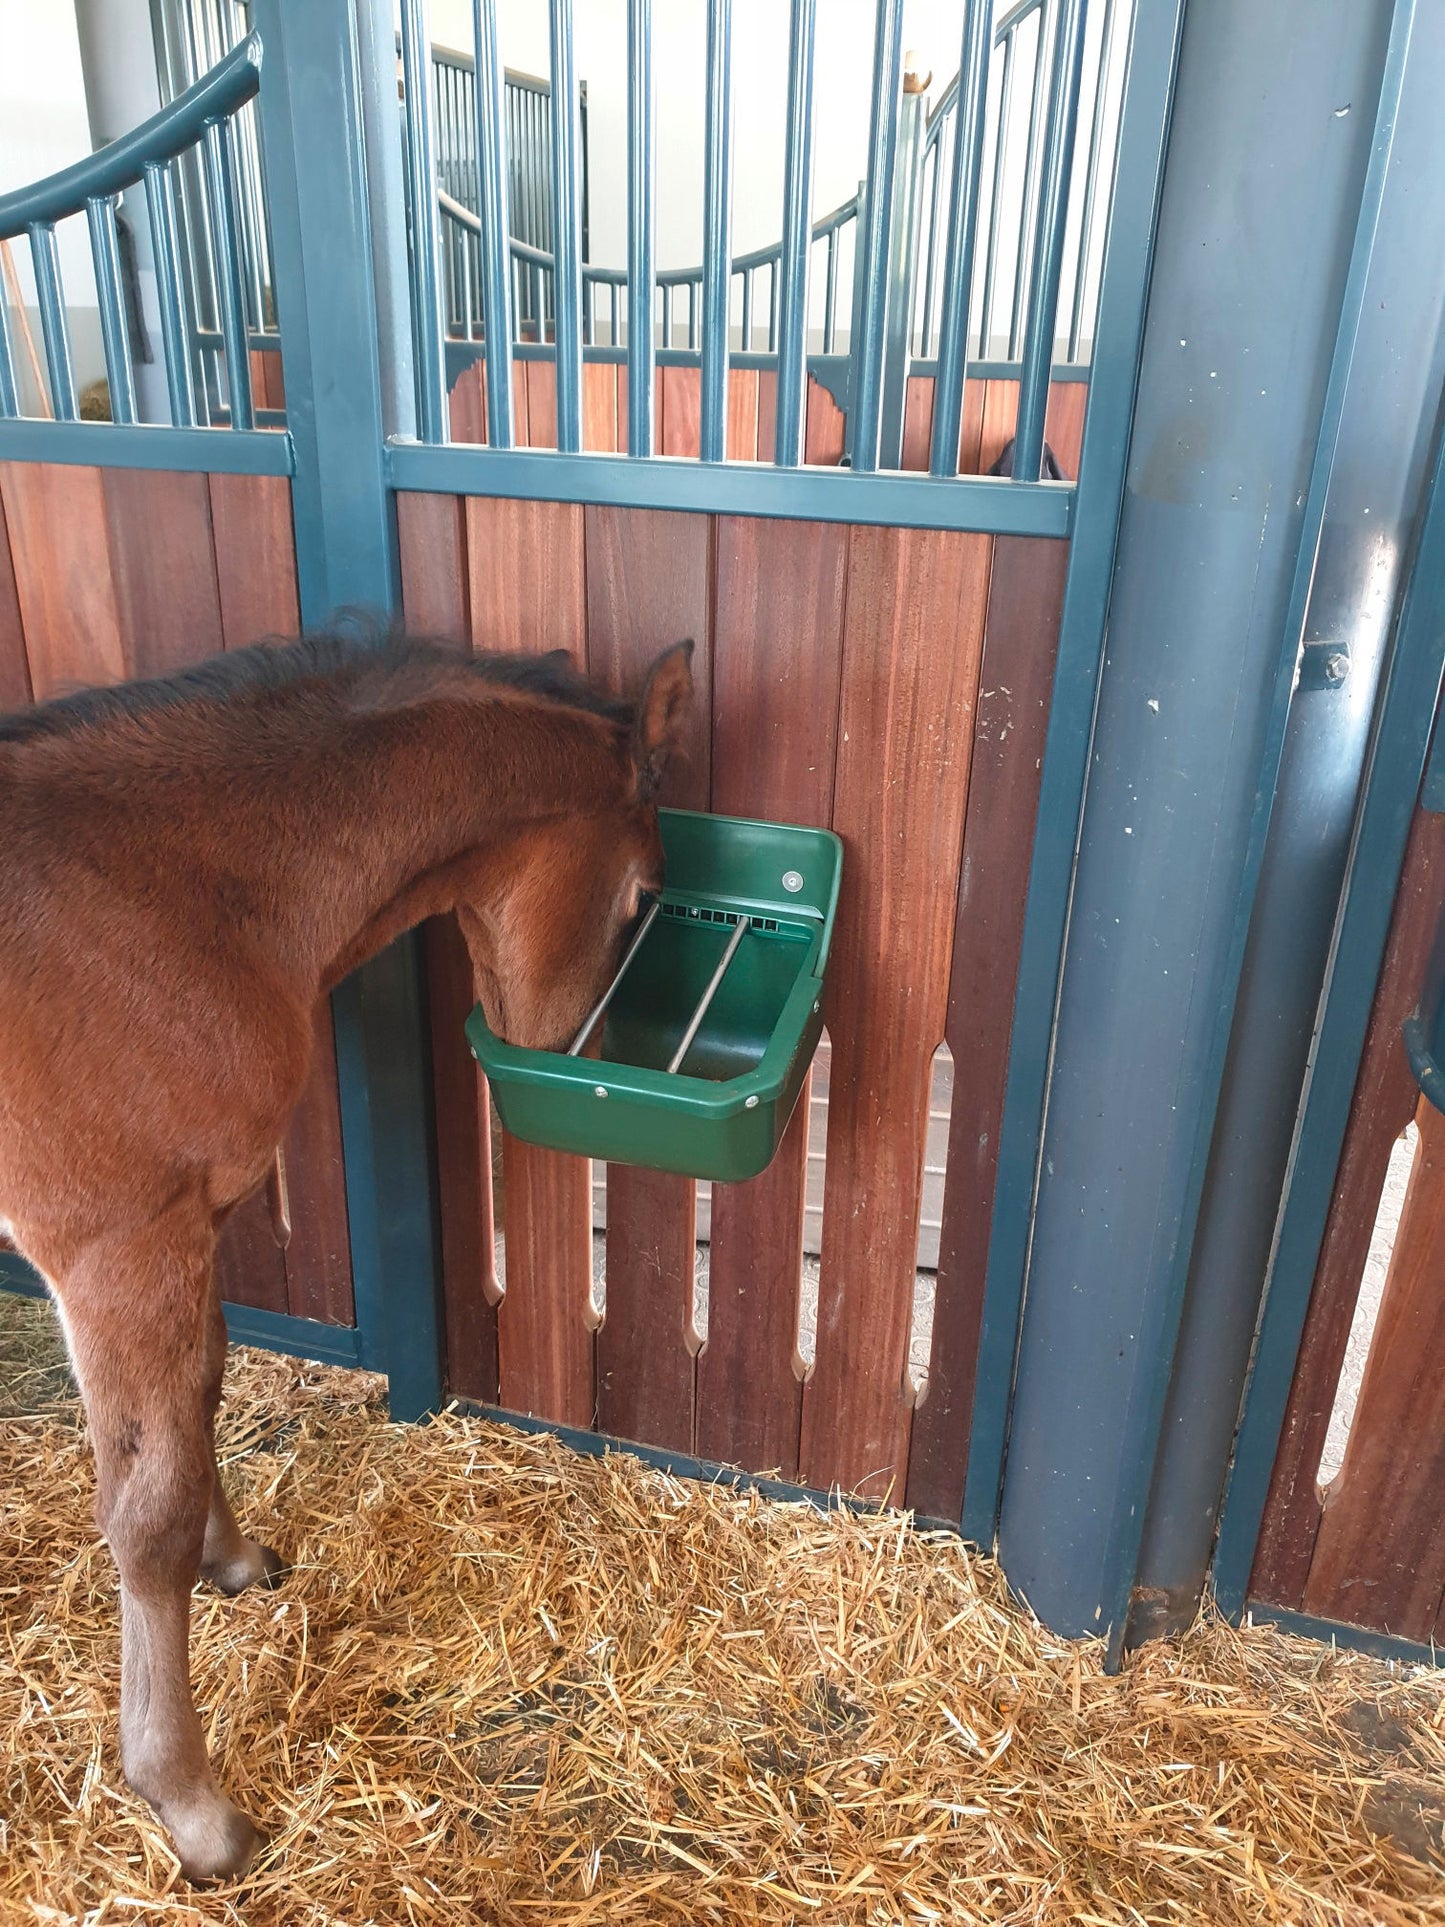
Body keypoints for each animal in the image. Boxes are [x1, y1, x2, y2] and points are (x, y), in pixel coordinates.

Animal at [0, 635, 701, 1880]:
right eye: (641, 899)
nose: (579, 1053)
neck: (164, 893)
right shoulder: (117, 1252)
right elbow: (146, 1514)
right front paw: (189, 1802)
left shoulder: (190, 1229)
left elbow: (204, 1397)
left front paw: (235, 1561)